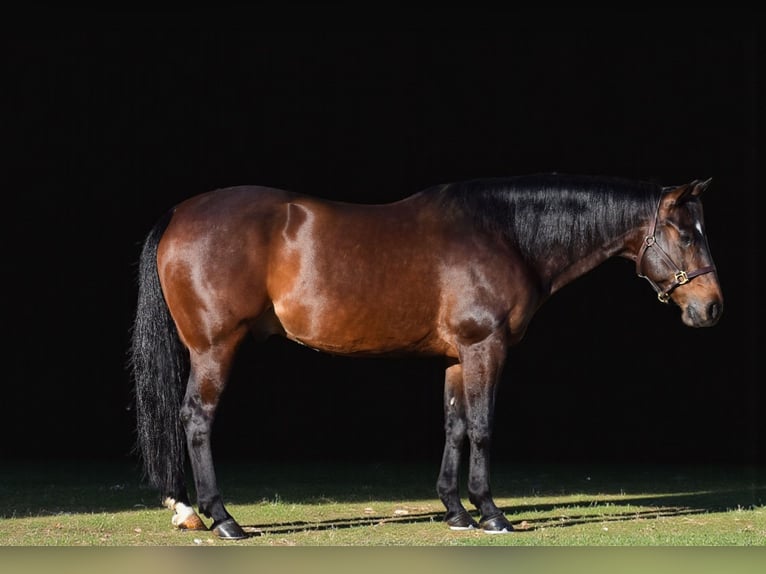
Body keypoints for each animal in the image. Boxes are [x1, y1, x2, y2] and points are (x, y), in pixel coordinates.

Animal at [129, 173, 723, 539]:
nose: (712, 308)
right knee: (197, 419)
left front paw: (456, 510)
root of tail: (180, 213)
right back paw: (221, 517)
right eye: (685, 234)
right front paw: (491, 512)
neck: (503, 234)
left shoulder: (458, 356)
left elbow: (454, 426)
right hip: (215, 348)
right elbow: (481, 427)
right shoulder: (486, 348)